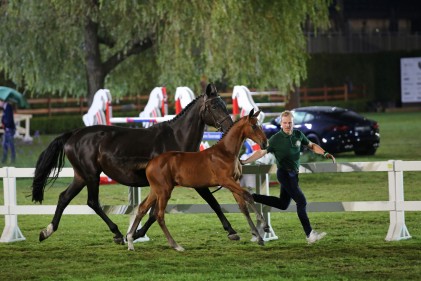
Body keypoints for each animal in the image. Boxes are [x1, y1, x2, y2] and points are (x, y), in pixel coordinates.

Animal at [32, 83, 236, 243]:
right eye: (214, 106)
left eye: (224, 104)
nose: (229, 127)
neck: (175, 139)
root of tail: (73, 134)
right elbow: (209, 202)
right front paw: (232, 231)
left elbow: (155, 213)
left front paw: (136, 234)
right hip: (91, 175)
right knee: (92, 202)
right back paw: (116, 233)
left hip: (81, 176)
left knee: (64, 198)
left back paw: (47, 231)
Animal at [126, 109, 268, 249]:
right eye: (254, 126)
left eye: (261, 125)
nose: (265, 143)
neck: (225, 153)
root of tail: (150, 162)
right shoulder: (226, 181)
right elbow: (248, 195)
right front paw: (264, 226)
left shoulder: (235, 181)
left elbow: (243, 207)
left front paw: (258, 237)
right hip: (164, 191)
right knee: (159, 215)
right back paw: (175, 245)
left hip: (156, 190)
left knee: (142, 208)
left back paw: (130, 240)